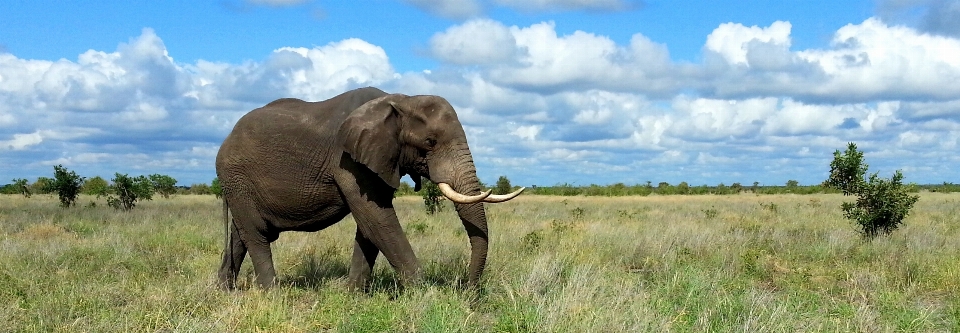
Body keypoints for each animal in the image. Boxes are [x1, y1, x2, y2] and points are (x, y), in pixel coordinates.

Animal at [216, 87, 524, 290]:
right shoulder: (347, 160)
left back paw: (224, 291)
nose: (467, 290)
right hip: (236, 176)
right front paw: (425, 294)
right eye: (430, 142)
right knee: (257, 234)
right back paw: (273, 294)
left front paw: (352, 294)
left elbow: (370, 224)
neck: (401, 100)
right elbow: (376, 217)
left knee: (241, 235)